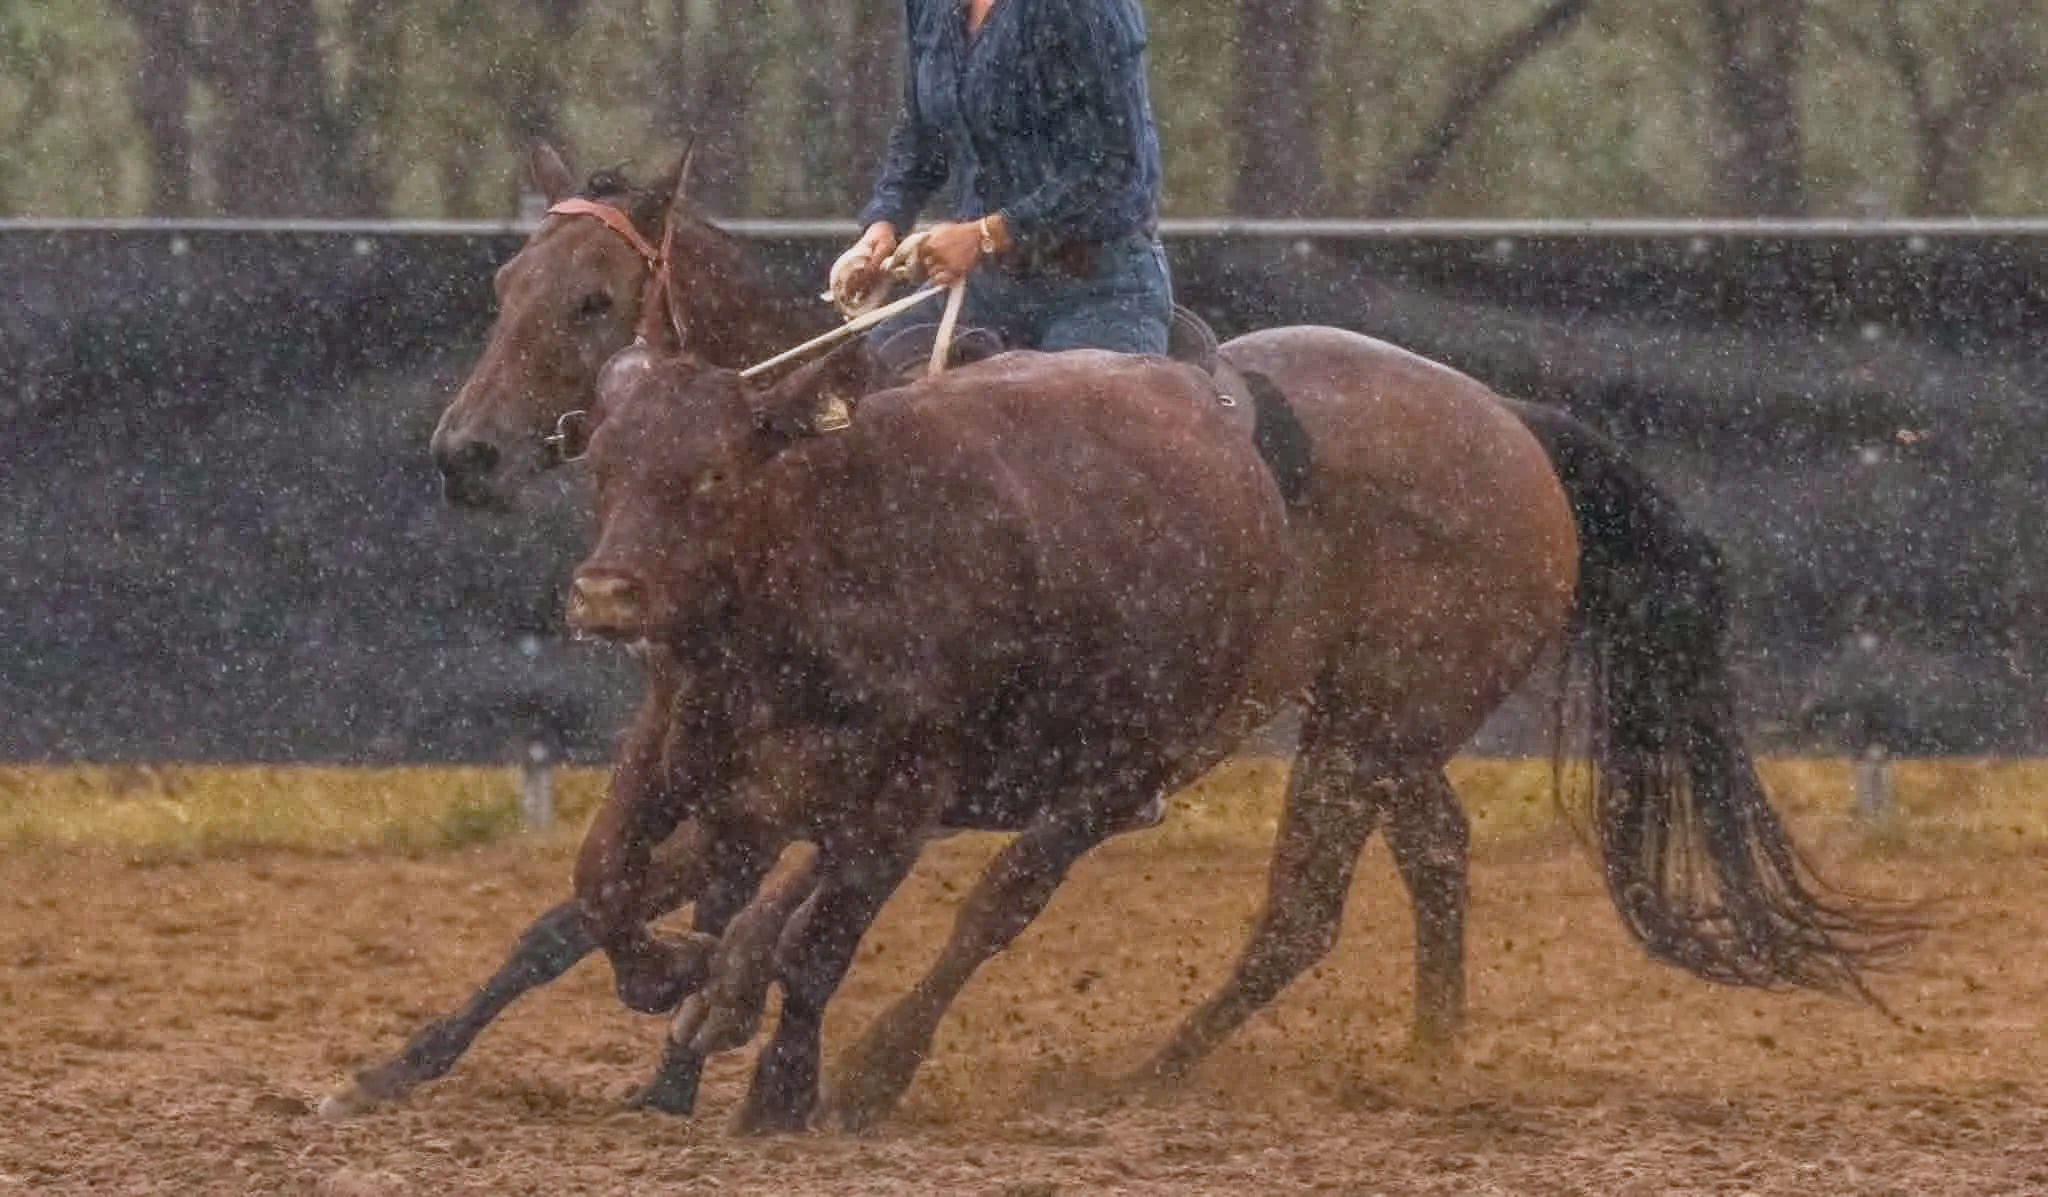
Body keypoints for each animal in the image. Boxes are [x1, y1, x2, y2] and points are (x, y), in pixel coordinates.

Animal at [325, 142, 1909, 1122]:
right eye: (502, 289)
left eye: (595, 300)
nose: (464, 454)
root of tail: (1516, 426)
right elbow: (583, 909)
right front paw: (410, 1063)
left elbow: (761, 910)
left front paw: (697, 1030)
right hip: (1375, 727)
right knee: (1436, 857)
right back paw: (1425, 1051)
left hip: (1362, 729)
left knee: (1290, 909)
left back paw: (1127, 1073)